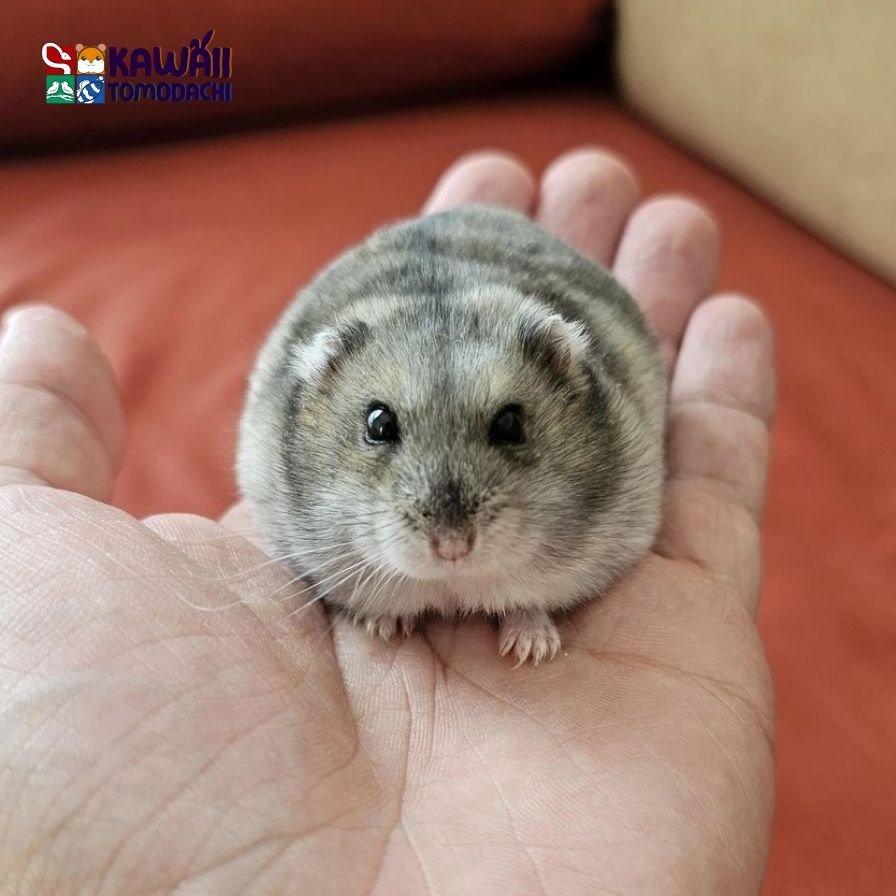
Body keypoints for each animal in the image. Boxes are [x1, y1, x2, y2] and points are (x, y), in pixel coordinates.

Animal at [237, 205, 666, 665]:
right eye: (378, 424)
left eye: (511, 424)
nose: (452, 548)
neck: (452, 584)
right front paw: (384, 628)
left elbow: (528, 604)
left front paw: (532, 650)